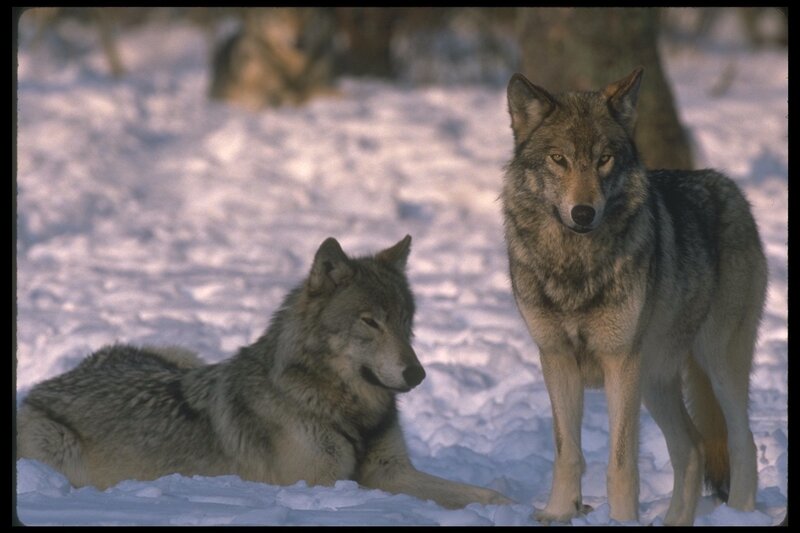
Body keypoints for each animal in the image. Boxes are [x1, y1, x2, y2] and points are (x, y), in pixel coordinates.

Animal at [17, 236, 512, 510]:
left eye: (406, 320)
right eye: (370, 322)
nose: (418, 374)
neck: (339, 406)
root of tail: (45, 384)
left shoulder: (390, 470)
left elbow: (474, 493)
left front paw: (509, 503)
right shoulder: (326, 483)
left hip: (180, 353)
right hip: (59, 449)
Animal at [502, 68, 767, 525]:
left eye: (604, 159)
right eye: (559, 159)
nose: (583, 213)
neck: (575, 264)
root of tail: (729, 187)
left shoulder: (619, 361)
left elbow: (621, 463)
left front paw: (622, 519)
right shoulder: (555, 359)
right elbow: (567, 453)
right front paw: (558, 512)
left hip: (716, 364)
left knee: (741, 441)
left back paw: (740, 513)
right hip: (656, 380)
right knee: (692, 448)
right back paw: (676, 520)